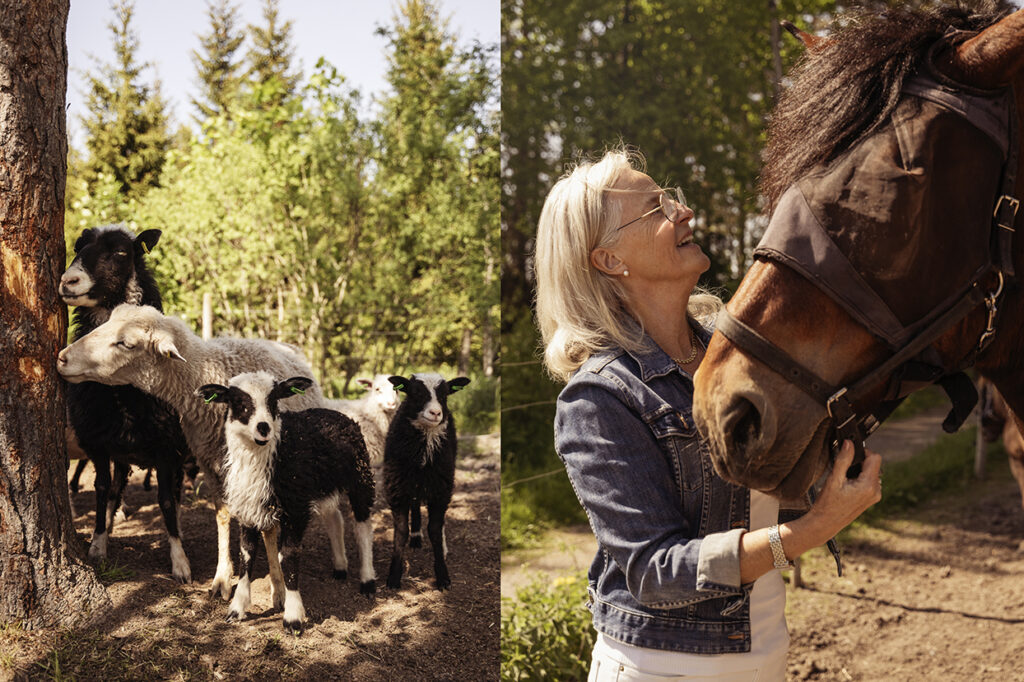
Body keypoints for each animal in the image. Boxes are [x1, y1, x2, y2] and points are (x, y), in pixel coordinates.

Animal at [59, 225, 193, 581]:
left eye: (121, 252)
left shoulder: (167, 448)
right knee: (115, 489)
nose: (68, 281)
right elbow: (102, 490)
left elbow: (165, 500)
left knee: (175, 493)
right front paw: (97, 545)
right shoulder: (98, 444)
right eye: (77, 247)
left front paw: (180, 561)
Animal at [195, 372, 376, 630]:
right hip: (324, 486)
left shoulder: (296, 509)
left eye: (274, 401)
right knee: (335, 519)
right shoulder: (248, 509)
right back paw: (340, 567)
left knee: (363, 527)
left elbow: (288, 556)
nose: (263, 427)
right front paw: (237, 609)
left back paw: (368, 580)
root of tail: (336, 413)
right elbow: (246, 554)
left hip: (360, 476)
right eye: (238, 402)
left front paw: (293, 616)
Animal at [385, 368, 468, 585]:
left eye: (445, 395)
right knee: (415, 506)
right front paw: (394, 575)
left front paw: (443, 576)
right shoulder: (397, 489)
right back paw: (415, 536)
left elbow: (435, 530)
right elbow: (401, 531)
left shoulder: (441, 490)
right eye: (416, 393)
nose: (436, 413)